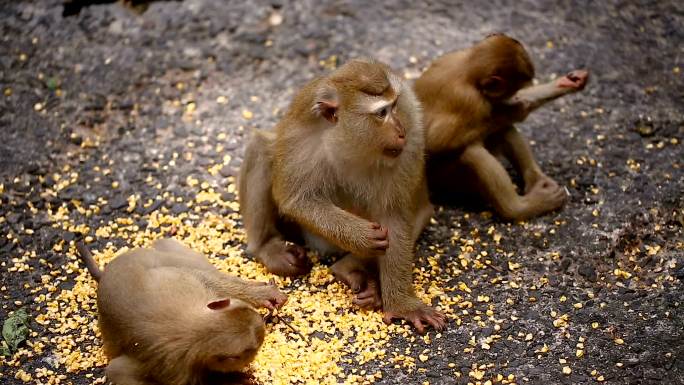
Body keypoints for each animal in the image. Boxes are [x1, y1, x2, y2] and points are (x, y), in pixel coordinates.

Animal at [75, 237, 288, 384]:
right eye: (255, 348)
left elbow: (203, 278)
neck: (199, 329)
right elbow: (117, 372)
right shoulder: (174, 368)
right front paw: (232, 379)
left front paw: (263, 294)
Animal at [239, 58, 444, 332]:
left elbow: (393, 216)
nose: (401, 131)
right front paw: (361, 236)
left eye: (395, 106)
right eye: (382, 113)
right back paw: (267, 247)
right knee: (261, 148)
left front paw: (402, 304)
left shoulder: (406, 147)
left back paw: (352, 270)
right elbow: (294, 198)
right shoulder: (302, 138)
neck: (348, 144)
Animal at [414, 34, 592, 220]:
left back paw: (535, 181)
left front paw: (568, 82)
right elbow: (436, 142)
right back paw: (519, 208)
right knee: (473, 152)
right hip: (447, 180)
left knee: (503, 130)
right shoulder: (471, 101)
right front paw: (513, 111)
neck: (467, 71)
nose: (511, 98)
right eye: (510, 90)